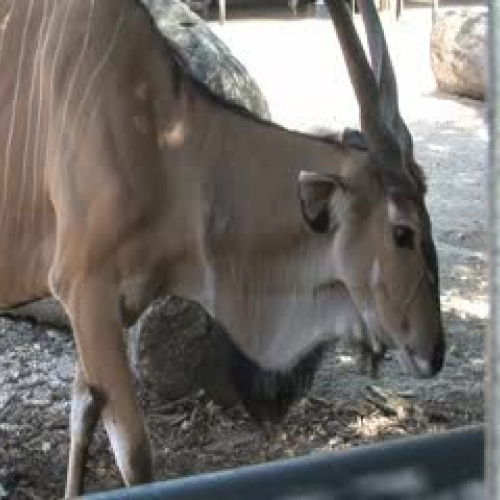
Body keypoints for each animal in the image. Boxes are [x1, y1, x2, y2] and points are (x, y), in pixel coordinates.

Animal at [0, 0, 446, 494]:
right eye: (402, 232)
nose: (434, 352)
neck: (166, 147)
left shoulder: (114, 308)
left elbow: (82, 413)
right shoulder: (85, 292)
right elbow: (134, 454)